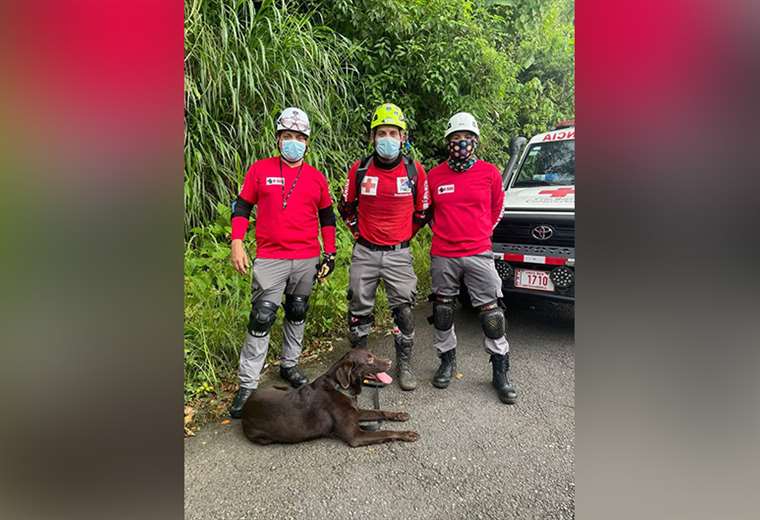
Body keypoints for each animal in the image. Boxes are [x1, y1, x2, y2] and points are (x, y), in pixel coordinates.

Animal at [242, 348, 418, 444]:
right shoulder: (356, 436)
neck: (339, 387)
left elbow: (379, 411)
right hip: (262, 437)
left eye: (372, 354)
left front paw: (399, 414)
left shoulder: (356, 411)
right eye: (369, 359)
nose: (389, 362)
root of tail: (246, 404)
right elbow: (385, 432)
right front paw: (407, 434)